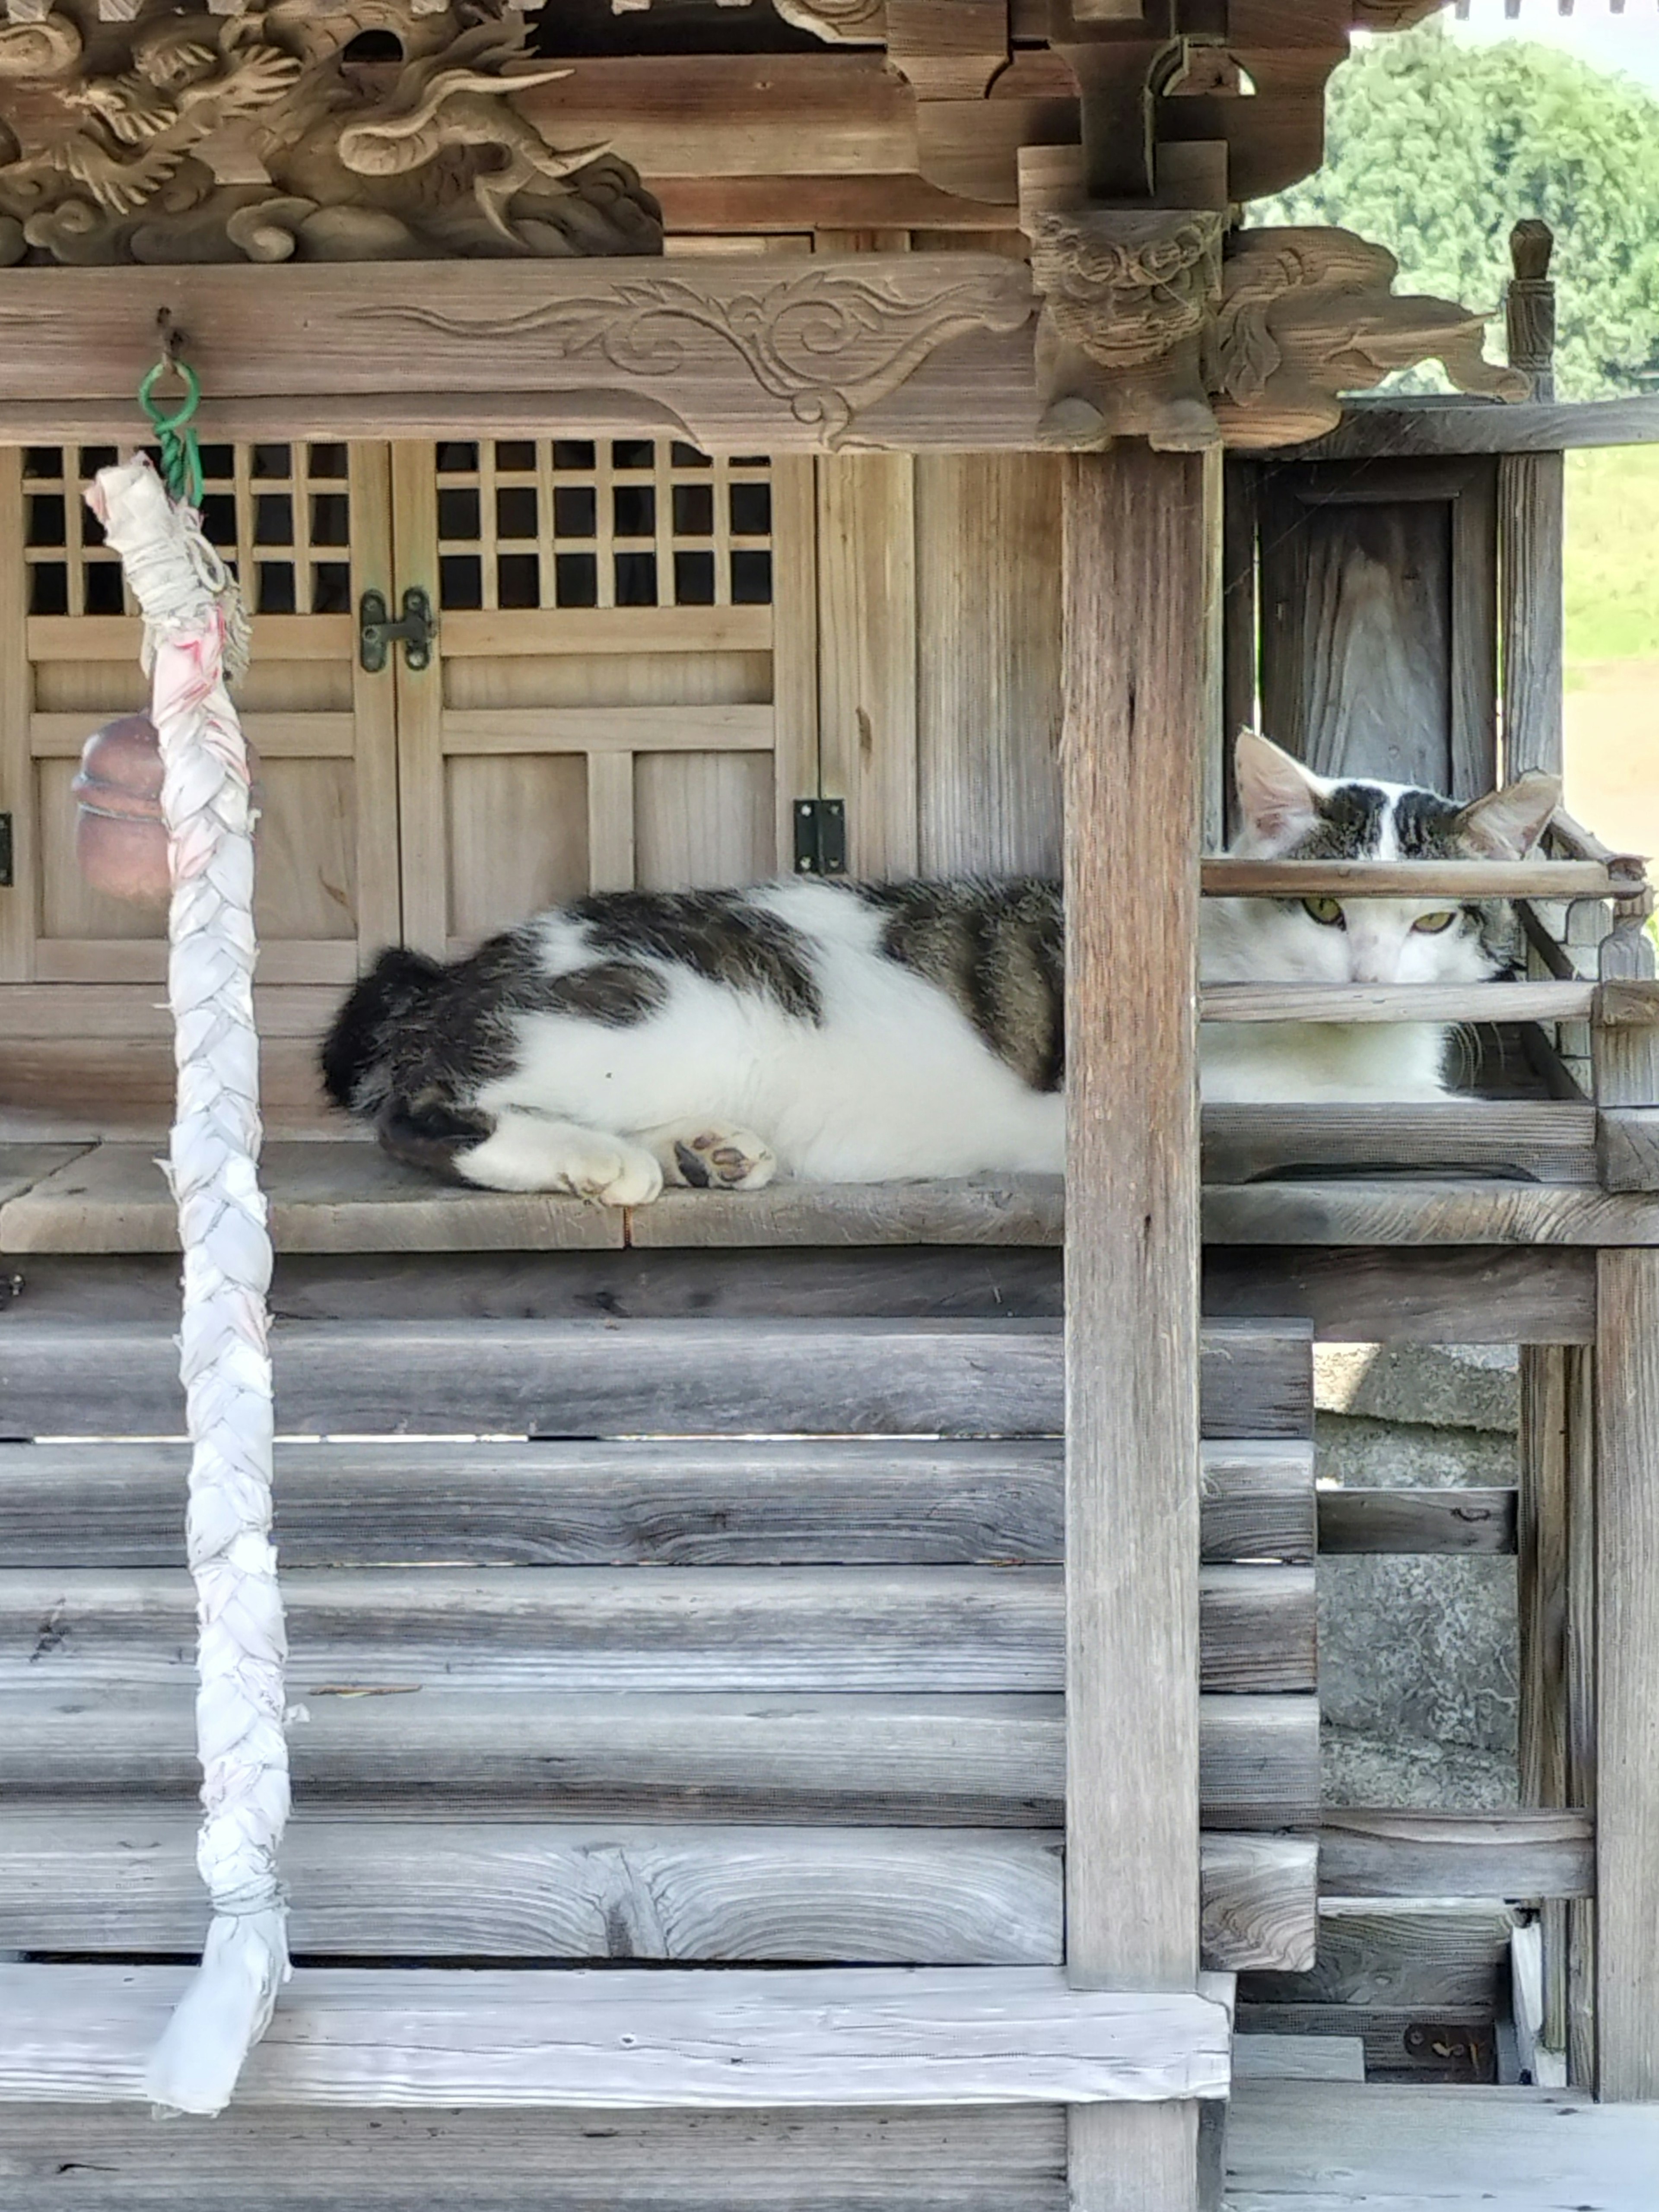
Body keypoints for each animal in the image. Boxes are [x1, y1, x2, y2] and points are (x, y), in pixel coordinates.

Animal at [321, 734, 1557, 1203]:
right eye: (1321, 905)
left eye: (1434, 919)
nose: (1368, 976)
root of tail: (455, 975)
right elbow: (1400, 1111)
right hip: (649, 1017)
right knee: (421, 1112)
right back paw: (601, 1161)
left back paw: (708, 1151)